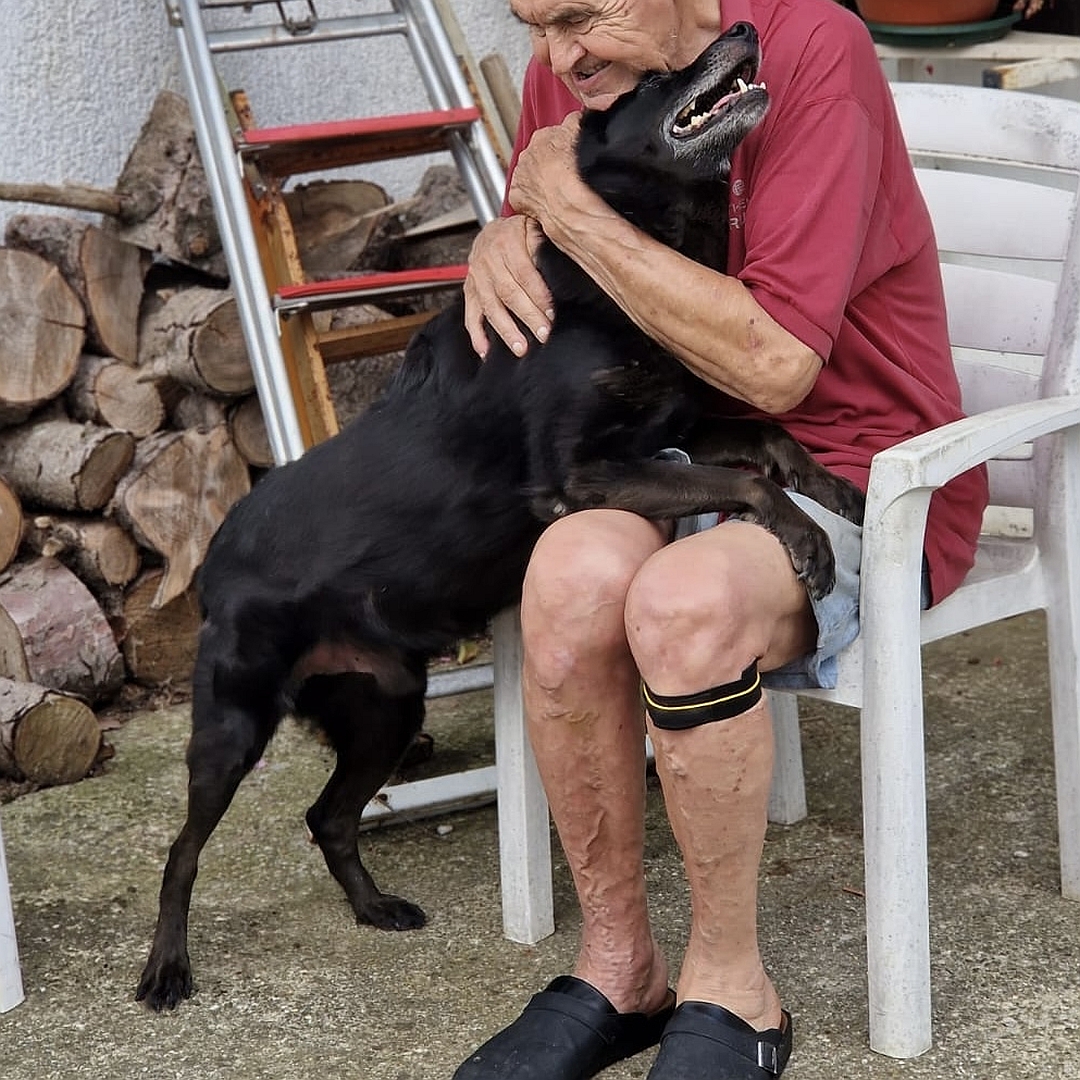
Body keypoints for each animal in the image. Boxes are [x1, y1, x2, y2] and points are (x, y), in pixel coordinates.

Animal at [137, 19, 859, 1010]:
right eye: (661, 78)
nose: (743, 30)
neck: (625, 260)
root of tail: (212, 562)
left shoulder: (673, 429)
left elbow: (768, 438)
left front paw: (840, 493)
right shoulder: (580, 474)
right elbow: (747, 481)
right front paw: (805, 540)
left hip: (387, 709)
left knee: (328, 816)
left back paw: (375, 908)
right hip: (234, 723)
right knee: (182, 851)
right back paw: (167, 968)